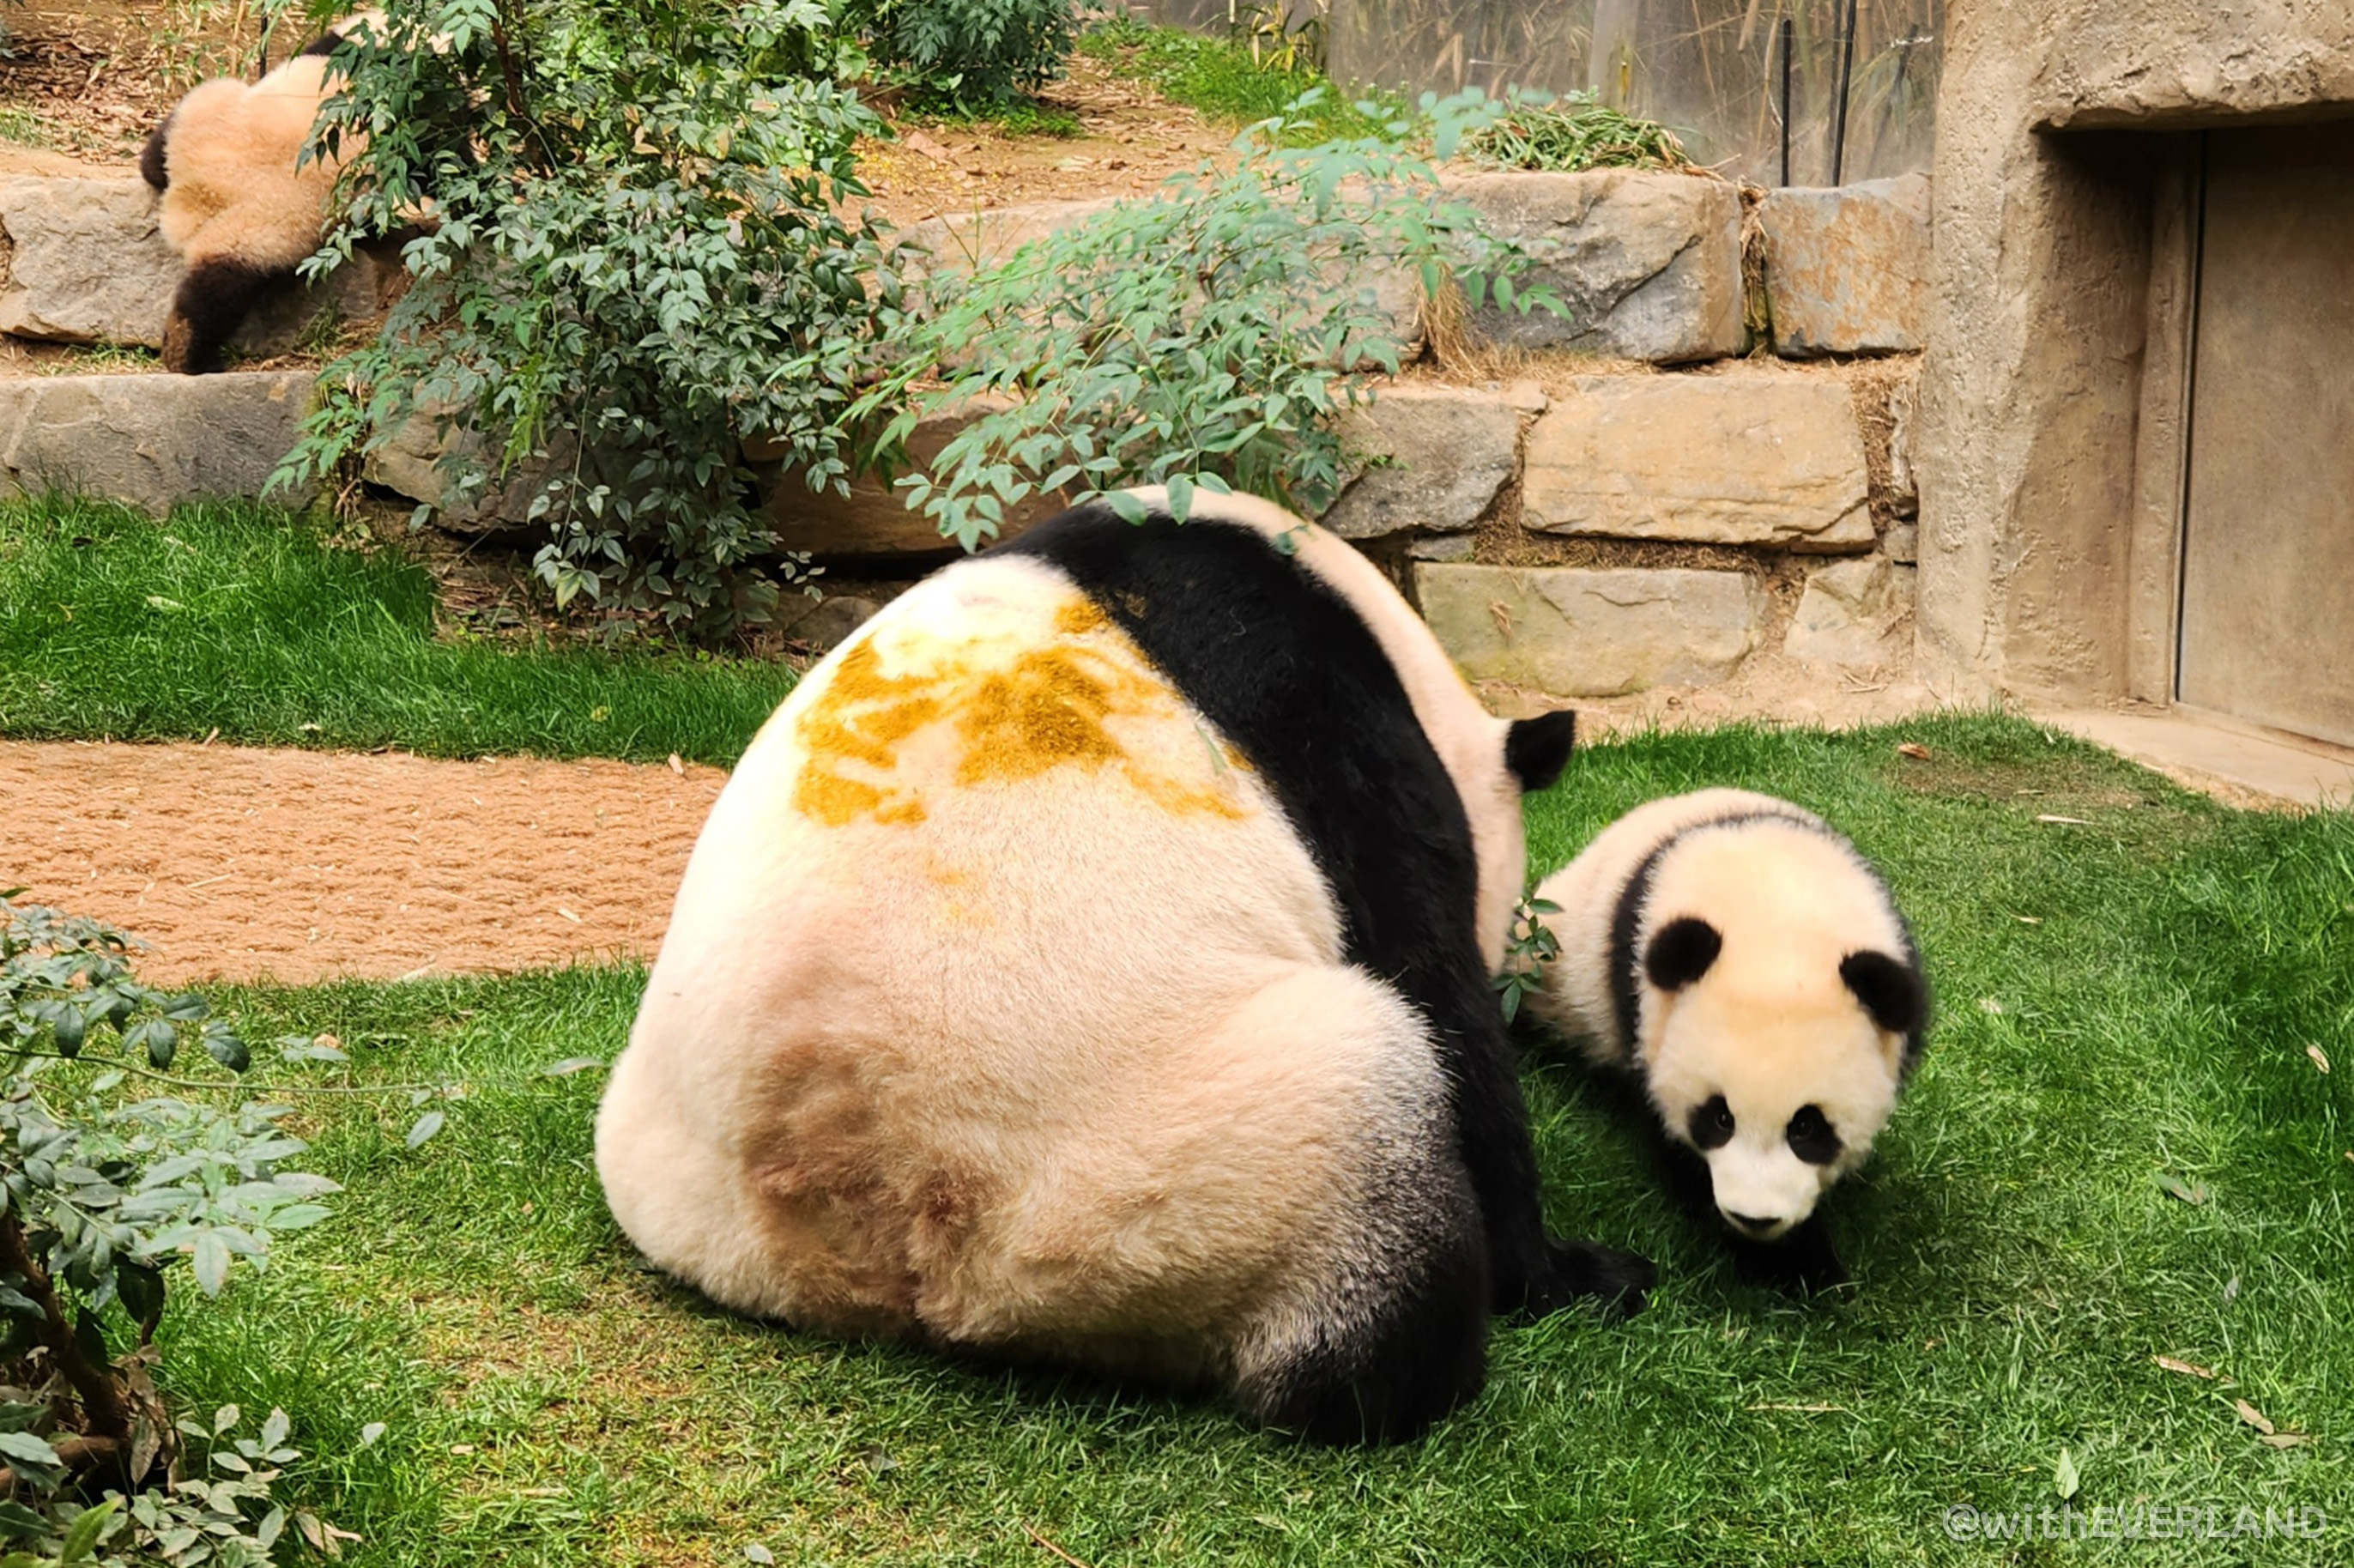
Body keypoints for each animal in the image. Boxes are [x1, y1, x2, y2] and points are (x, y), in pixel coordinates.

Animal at [139, 12, 386, 374]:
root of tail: (195, 194)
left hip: (202, 117)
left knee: (162, 144)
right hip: (253, 235)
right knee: (216, 294)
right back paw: (191, 356)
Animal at [595, 487, 1654, 1444]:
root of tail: (875, 1244)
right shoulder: (1331, 717)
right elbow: (1430, 973)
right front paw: (1572, 1271)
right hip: (1171, 1161)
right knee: (1367, 1129)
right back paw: (1403, 1380)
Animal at [1520, 788, 1926, 1291]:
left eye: (1806, 1126)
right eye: (1719, 1117)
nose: (1755, 1219)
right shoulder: (1641, 1003)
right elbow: (1672, 1142)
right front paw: (1797, 1264)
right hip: (1556, 959)